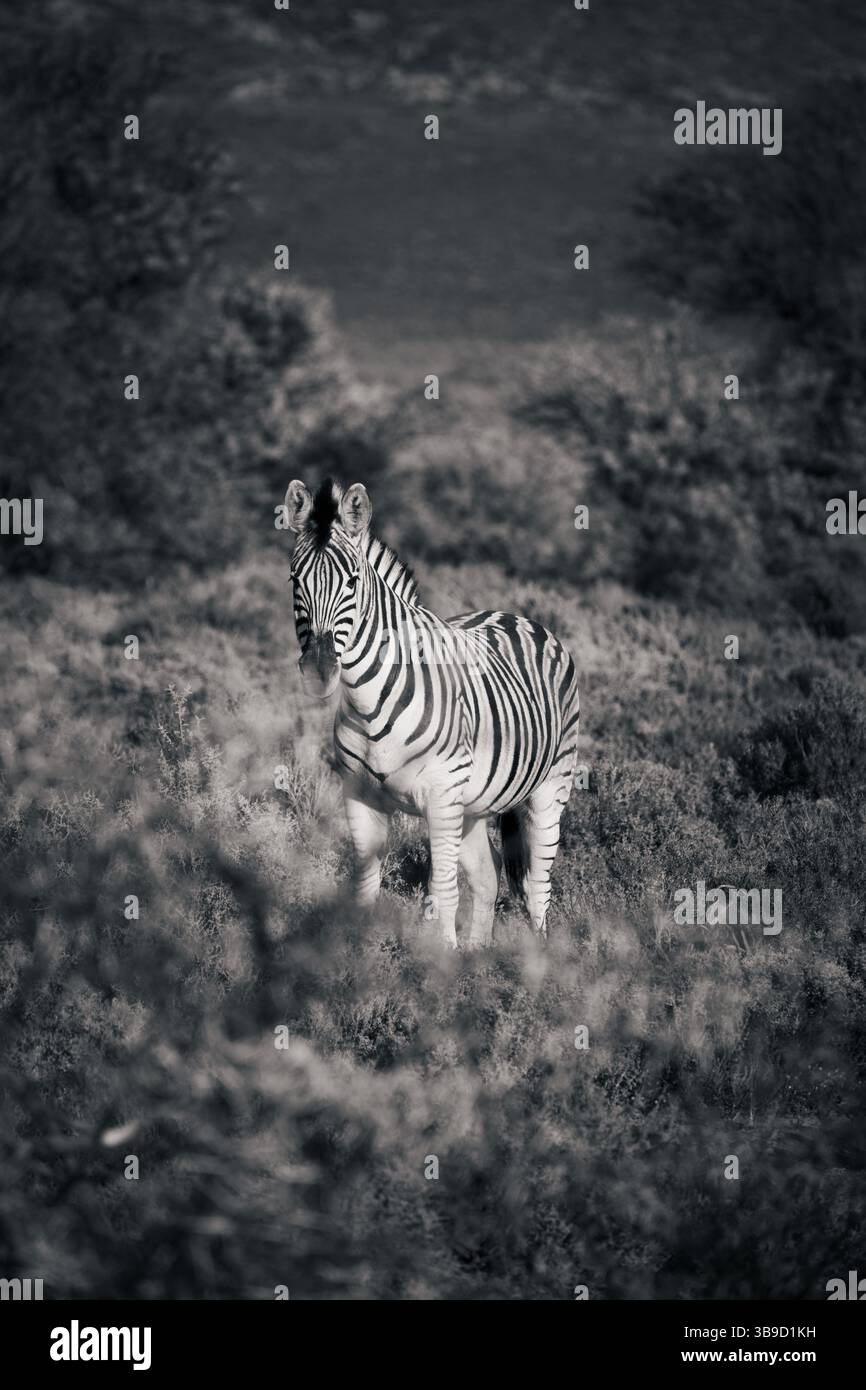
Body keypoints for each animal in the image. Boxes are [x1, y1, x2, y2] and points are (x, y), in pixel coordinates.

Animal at [286, 476, 580, 947]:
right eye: (296, 579)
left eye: (352, 581)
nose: (319, 670)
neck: (369, 703)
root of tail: (516, 615)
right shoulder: (360, 796)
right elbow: (366, 883)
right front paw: (356, 954)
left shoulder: (441, 796)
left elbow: (441, 890)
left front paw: (439, 957)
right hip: (474, 805)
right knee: (488, 874)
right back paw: (478, 956)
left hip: (551, 788)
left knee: (536, 885)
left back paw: (536, 953)